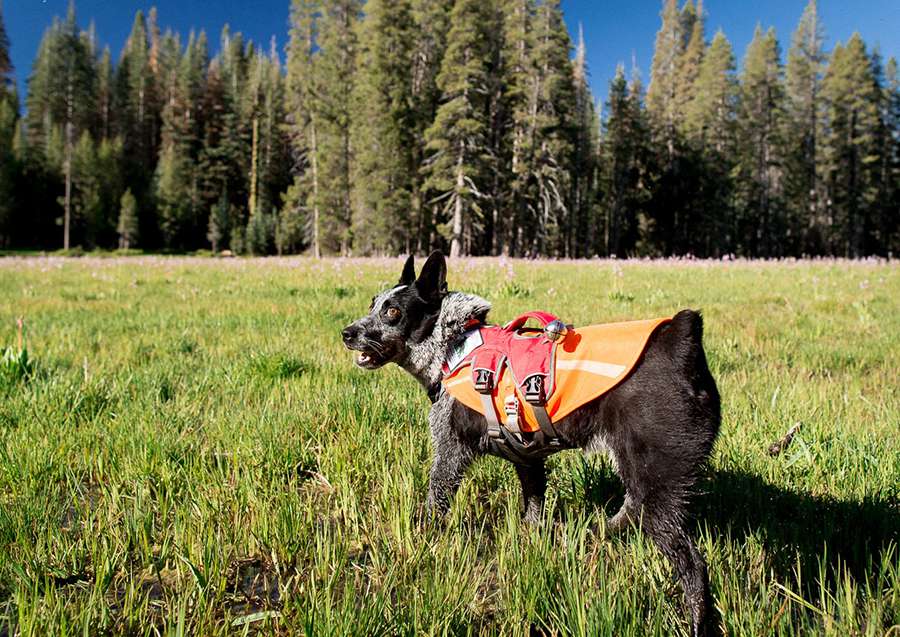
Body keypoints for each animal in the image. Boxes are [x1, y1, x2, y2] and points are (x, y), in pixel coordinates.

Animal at [342, 251, 720, 632]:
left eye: (392, 312)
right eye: (373, 304)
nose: (347, 333)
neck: (451, 347)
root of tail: (681, 340)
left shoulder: (450, 451)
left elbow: (436, 499)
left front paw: (424, 538)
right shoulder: (528, 459)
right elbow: (534, 508)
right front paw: (532, 541)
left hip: (655, 479)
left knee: (691, 565)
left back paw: (696, 621)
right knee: (631, 510)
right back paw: (595, 531)